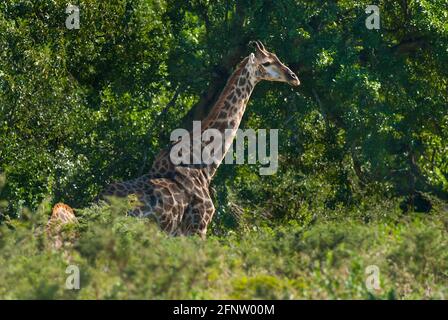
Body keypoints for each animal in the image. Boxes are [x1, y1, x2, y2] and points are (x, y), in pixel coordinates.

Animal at [49, 40, 300, 239]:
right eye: (266, 63)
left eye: (278, 58)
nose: (294, 77)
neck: (206, 163)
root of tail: (94, 207)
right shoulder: (198, 227)